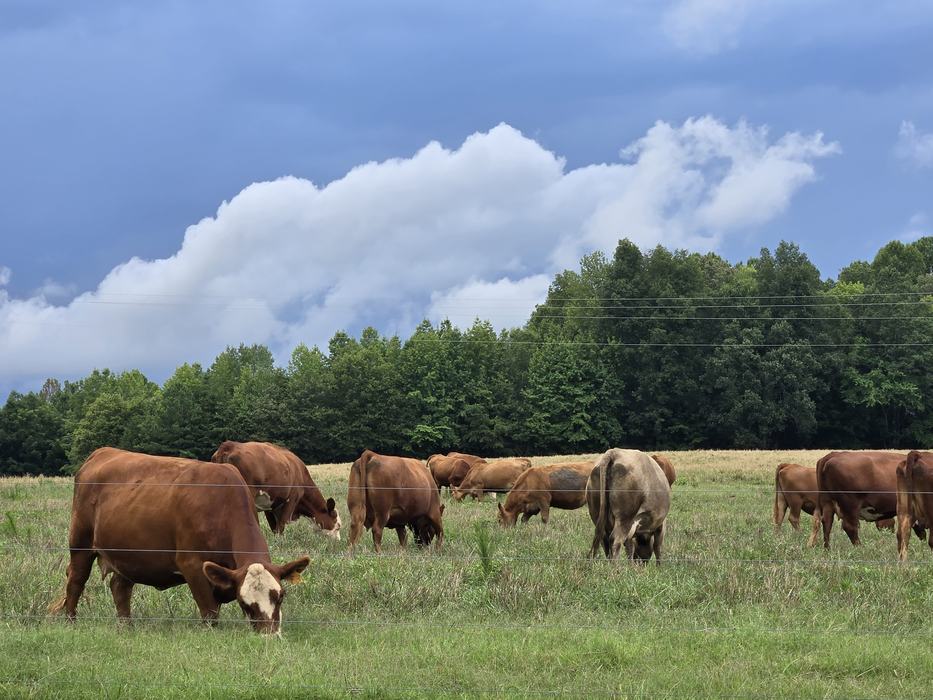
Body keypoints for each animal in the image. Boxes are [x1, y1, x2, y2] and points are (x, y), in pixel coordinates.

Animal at [50, 447, 309, 634]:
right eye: (245, 603)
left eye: (280, 595)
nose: (269, 635)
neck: (223, 503)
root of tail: (102, 452)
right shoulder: (191, 565)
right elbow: (210, 613)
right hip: (81, 543)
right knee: (76, 580)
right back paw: (71, 622)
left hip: (126, 554)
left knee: (120, 588)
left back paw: (126, 626)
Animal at [211, 441, 340, 539]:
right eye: (338, 525)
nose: (338, 541)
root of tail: (230, 445)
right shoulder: (292, 499)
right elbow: (282, 524)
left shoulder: (270, 506)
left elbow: (274, 527)